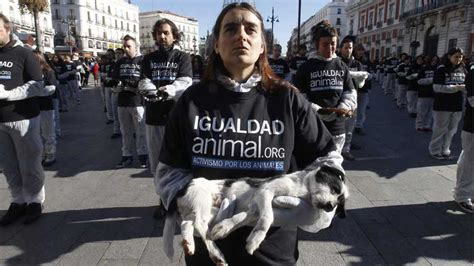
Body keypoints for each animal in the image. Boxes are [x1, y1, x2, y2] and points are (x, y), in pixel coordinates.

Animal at [163, 165, 348, 264]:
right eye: (334, 188)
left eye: (340, 202)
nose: (331, 207)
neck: (301, 189)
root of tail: (181, 189)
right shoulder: (265, 192)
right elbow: (268, 217)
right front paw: (255, 240)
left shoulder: (255, 207)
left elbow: (240, 218)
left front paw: (224, 228)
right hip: (201, 200)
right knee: (200, 225)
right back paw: (216, 254)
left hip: (205, 210)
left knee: (187, 224)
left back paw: (189, 244)